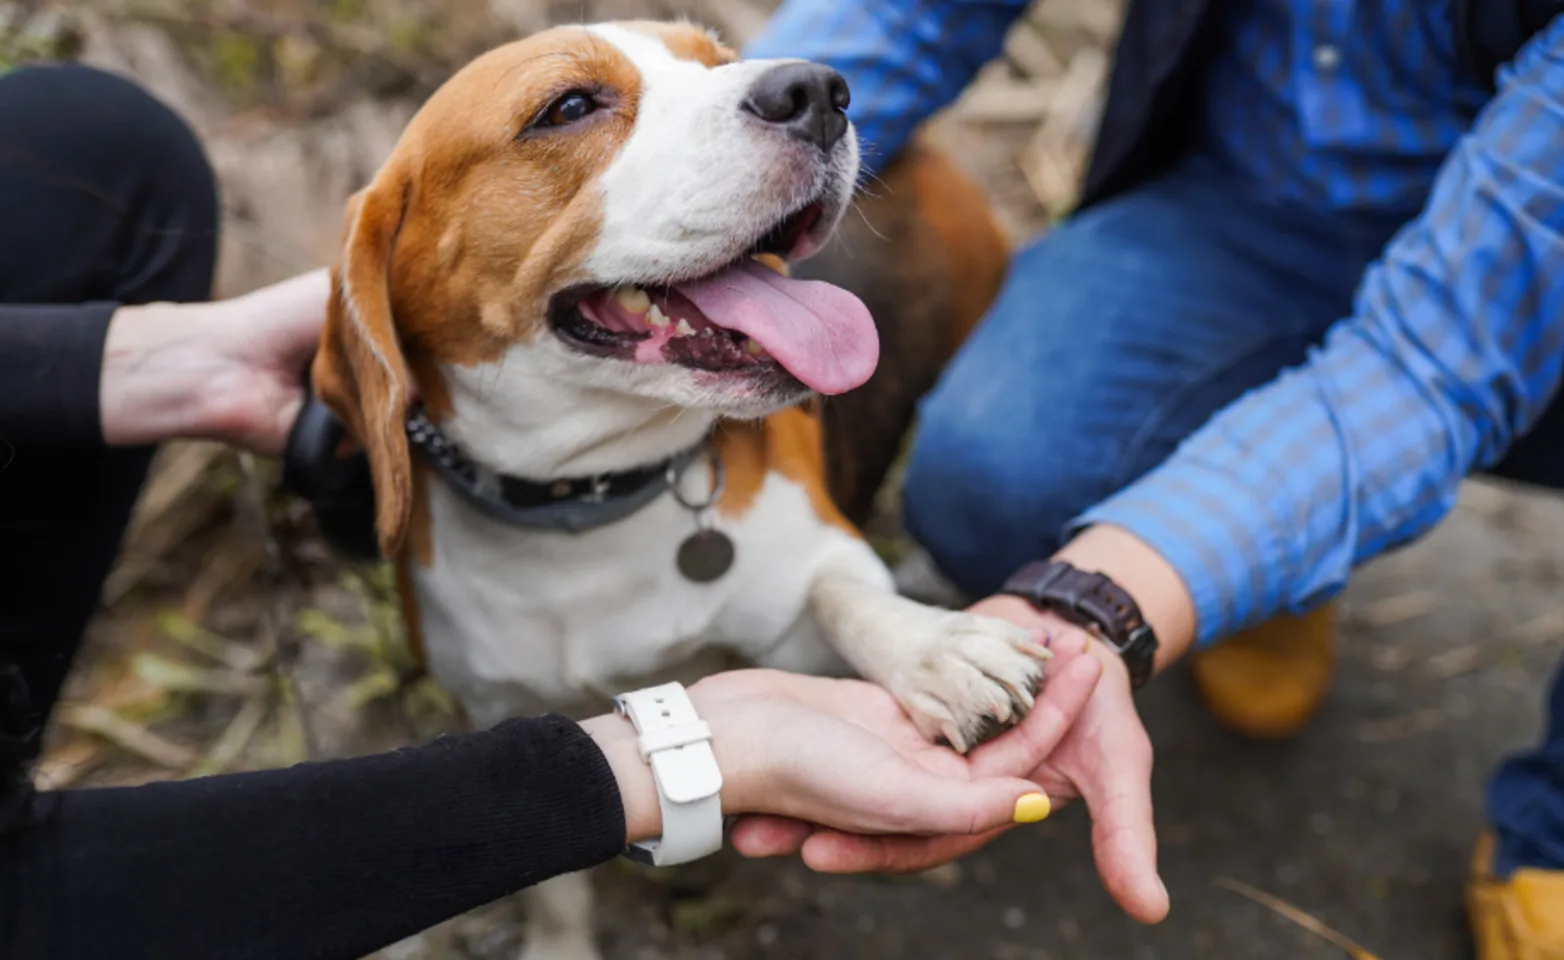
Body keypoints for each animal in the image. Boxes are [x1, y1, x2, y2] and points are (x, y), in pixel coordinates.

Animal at [311, 18, 1032, 956]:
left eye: (717, 62)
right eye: (568, 107)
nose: (820, 91)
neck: (590, 505)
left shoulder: (799, 615)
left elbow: (843, 594)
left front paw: (933, 650)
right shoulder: (507, 711)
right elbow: (556, 878)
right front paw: (559, 944)